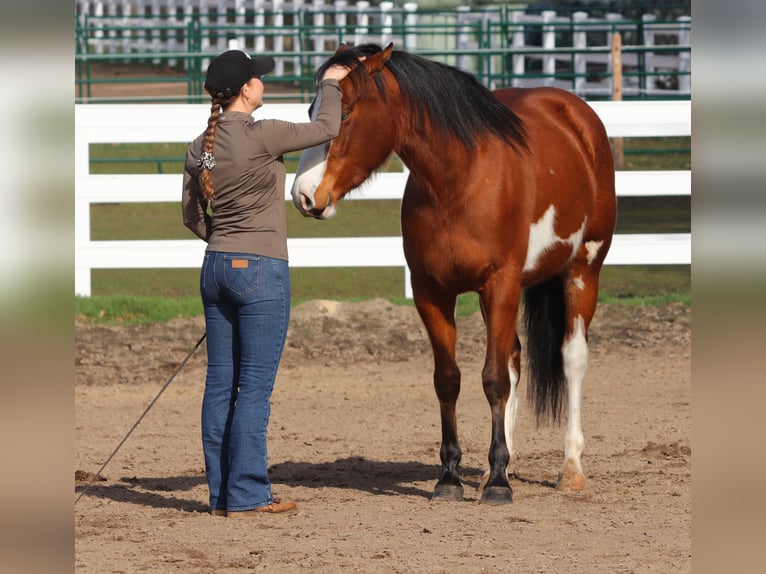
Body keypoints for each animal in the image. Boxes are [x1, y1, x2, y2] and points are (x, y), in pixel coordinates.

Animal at [291, 44, 616, 505]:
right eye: (310, 109)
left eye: (346, 112)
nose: (302, 195)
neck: (460, 180)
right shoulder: (432, 292)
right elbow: (449, 381)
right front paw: (452, 477)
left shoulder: (500, 285)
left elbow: (493, 380)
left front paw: (498, 485)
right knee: (514, 357)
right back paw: (503, 462)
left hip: (583, 270)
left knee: (571, 358)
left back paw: (569, 468)